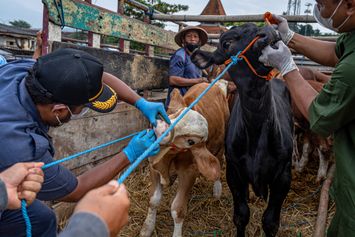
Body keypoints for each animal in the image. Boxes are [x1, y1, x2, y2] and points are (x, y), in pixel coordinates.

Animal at [140, 82, 229, 236]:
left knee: (219, 162)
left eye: (191, 141)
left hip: (221, 143)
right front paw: (147, 228)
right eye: (175, 114)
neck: (167, 159)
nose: (161, 130)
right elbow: (153, 199)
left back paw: (217, 190)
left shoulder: (189, 172)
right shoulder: (154, 166)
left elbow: (178, 209)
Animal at [192, 22, 294, 237]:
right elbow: (241, 215)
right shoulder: (234, 170)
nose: (268, 32)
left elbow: (270, 221)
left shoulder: (283, 175)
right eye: (226, 43)